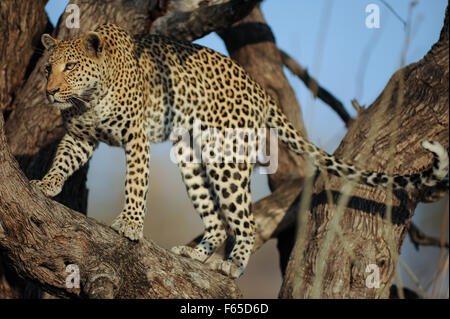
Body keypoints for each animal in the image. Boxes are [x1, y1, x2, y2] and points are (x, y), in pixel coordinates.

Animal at [32, 22, 450, 278]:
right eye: (48, 68)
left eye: (70, 66)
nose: (50, 91)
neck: (90, 97)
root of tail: (259, 87)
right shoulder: (80, 135)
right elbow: (63, 160)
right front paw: (45, 185)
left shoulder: (136, 139)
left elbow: (136, 184)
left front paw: (131, 225)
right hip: (192, 158)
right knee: (218, 220)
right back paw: (196, 254)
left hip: (228, 160)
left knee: (244, 220)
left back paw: (233, 266)